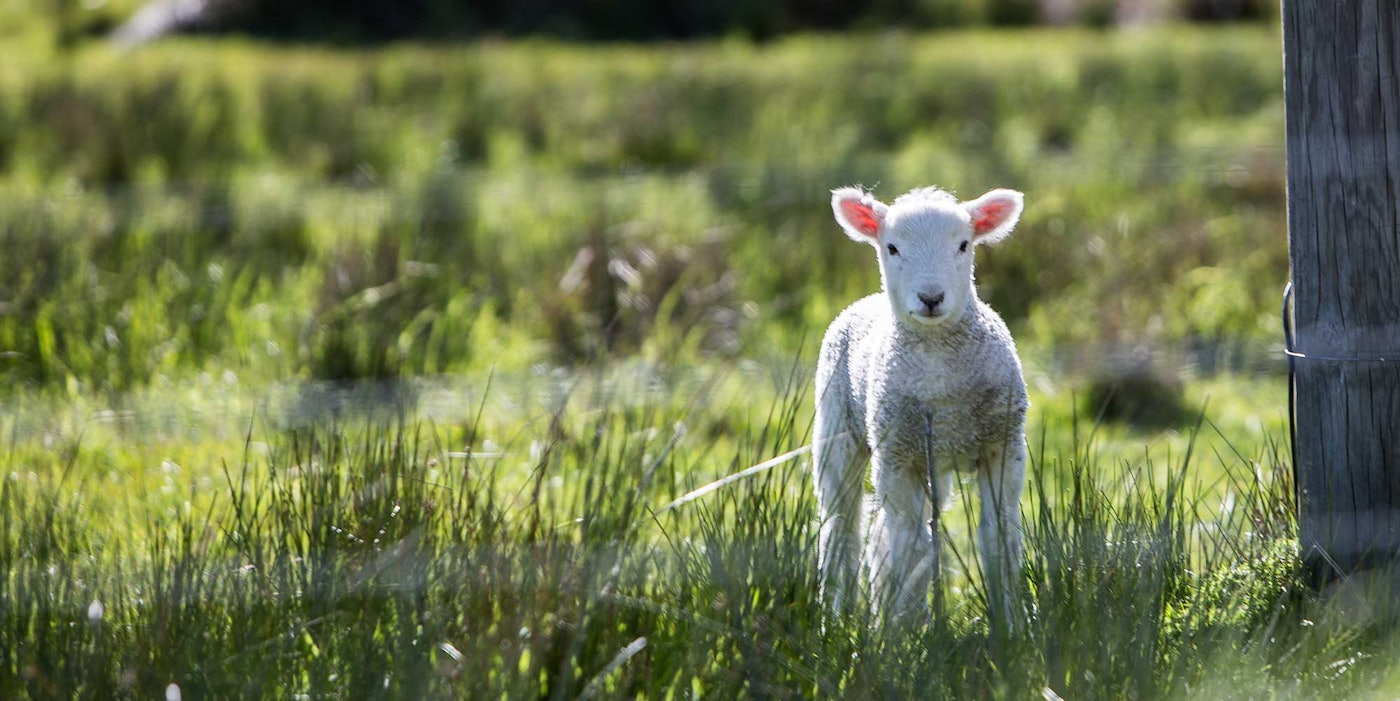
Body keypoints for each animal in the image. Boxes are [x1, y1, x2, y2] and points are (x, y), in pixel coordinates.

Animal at [813, 185, 1029, 624]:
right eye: (892, 247)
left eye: (963, 245)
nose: (931, 298)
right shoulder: (898, 457)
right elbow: (910, 546)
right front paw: (906, 629)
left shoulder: (1003, 445)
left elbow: (999, 536)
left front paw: (1010, 622)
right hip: (837, 431)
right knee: (842, 527)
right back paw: (838, 615)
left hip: (933, 461)